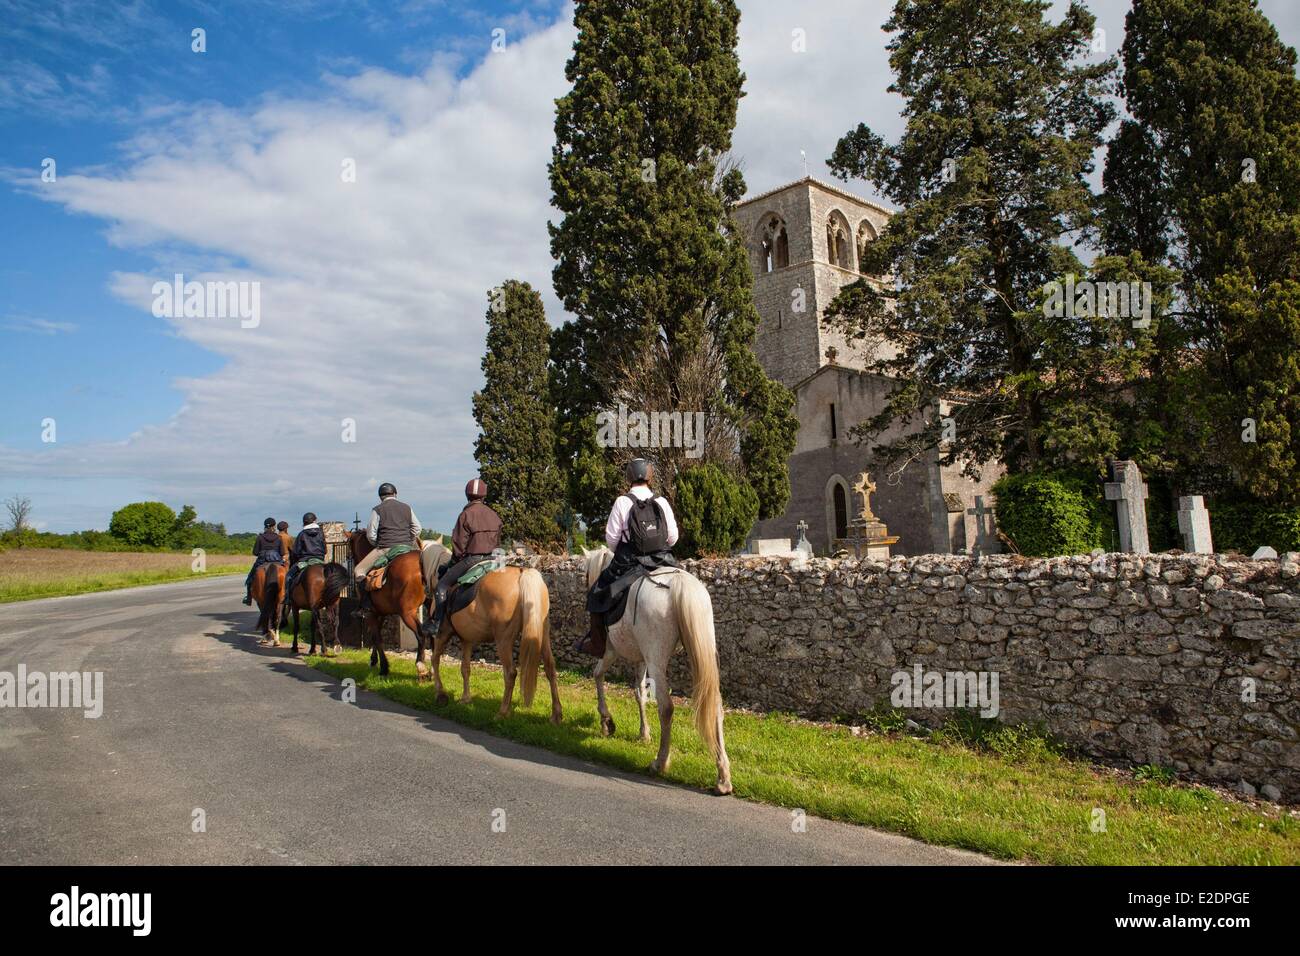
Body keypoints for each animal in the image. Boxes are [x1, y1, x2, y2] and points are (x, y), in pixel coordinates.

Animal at [413, 541, 561, 723]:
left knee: (510, 673)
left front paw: (440, 694)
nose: (425, 589)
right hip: (543, 634)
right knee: (550, 668)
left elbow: (435, 660)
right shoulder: (467, 639)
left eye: (420, 562)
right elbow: (465, 668)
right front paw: (465, 699)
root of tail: (522, 573)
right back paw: (556, 714)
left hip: (503, 639)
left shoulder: (443, 634)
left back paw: (503, 712)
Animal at [582, 548, 733, 796]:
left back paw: (660, 763)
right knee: (715, 705)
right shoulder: (642, 659)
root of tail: (680, 585)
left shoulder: (611, 652)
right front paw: (644, 733)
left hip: (657, 658)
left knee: (666, 707)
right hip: (700, 652)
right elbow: (639, 693)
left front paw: (606, 722)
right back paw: (723, 778)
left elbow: (597, 675)